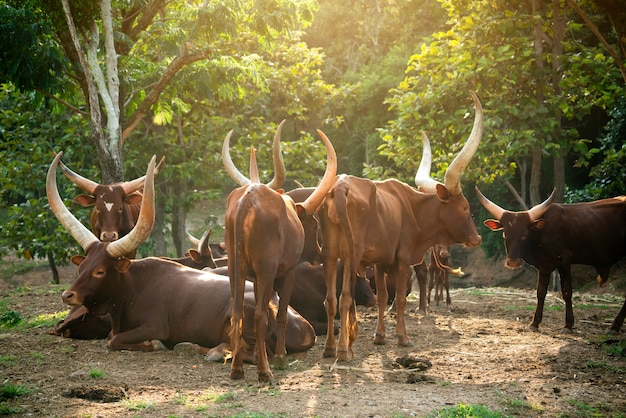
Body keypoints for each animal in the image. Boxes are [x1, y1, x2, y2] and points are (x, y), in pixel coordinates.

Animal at [46, 152, 314, 360]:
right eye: (81, 267)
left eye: (100, 271)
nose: (68, 295)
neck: (133, 286)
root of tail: (304, 328)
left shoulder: (154, 326)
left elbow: (113, 340)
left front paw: (154, 345)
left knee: (254, 352)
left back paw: (213, 351)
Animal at [221, 121, 334, 382]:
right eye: (314, 224)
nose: (319, 254)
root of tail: (247, 199)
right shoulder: (287, 272)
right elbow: (280, 313)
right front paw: (281, 356)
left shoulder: (256, 277)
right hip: (266, 271)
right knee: (260, 315)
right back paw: (265, 371)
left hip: (236, 271)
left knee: (238, 313)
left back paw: (237, 369)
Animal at [316, 93, 482, 360]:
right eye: (465, 207)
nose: (477, 238)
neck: (412, 209)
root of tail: (339, 187)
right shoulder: (403, 259)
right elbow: (402, 299)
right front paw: (403, 338)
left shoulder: (380, 262)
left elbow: (383, 297)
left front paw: (380, 336)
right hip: (350, 256)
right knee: (344, 298)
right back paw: (342, 350)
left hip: (330, 255)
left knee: (330, 299)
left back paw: (330, 348)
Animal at [472, 186, 624, 334]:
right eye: (505, 234)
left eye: (525, 234)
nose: (513, 262)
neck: (541, 233)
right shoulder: (544, 266)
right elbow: (540, 292)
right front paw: (534, 323)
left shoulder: (564, 261)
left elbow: (567, 292)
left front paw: (568, 325)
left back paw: (614, 326)